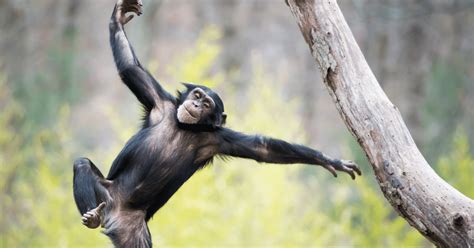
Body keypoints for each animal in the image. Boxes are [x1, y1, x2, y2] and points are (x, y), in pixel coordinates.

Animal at [73, 0, 360, 247]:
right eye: (198, 95)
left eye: (208, 104)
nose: (197, 105)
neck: (185, 127)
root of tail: (114, 218)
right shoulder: (159, 102)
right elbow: (130, 69)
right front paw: (119, 16)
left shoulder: (217, 139)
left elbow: (263, 148)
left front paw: (329, 160)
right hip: (107, 197)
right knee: (82, 165)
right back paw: (92, 216)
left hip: (134, 233)